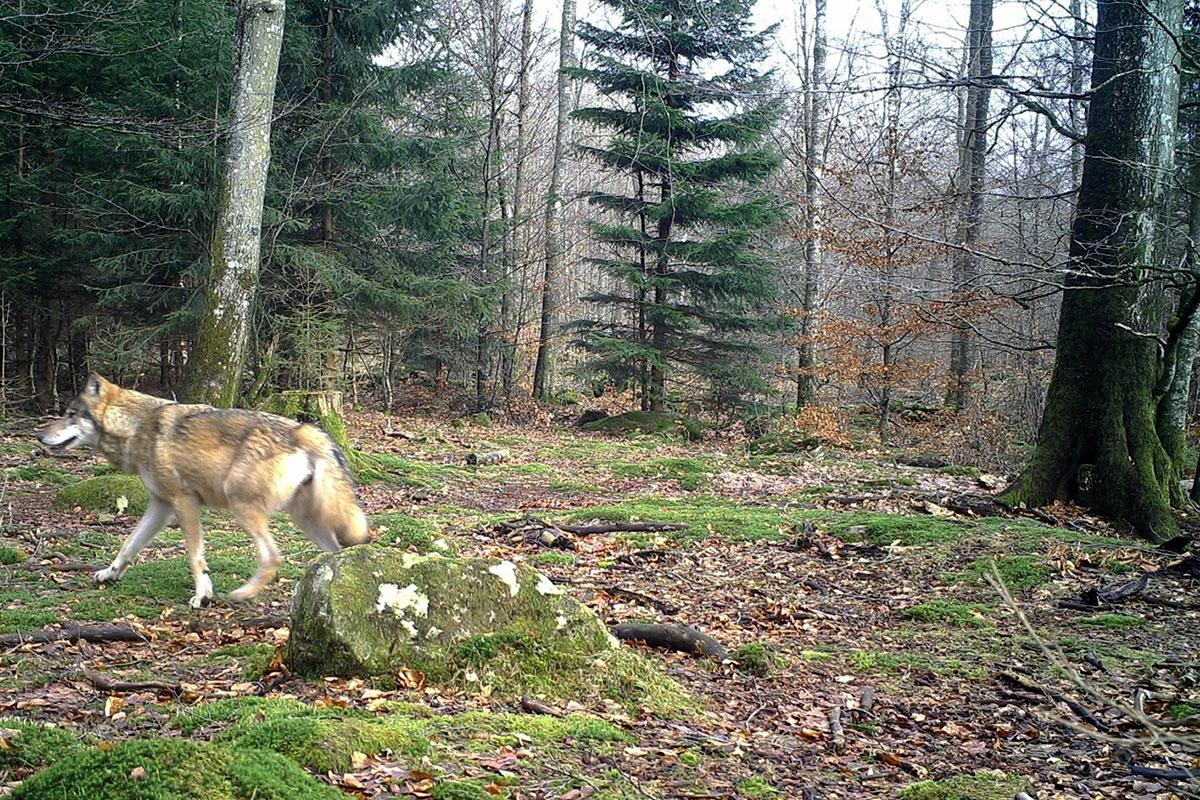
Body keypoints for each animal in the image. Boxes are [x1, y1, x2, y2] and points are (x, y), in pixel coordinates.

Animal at [37, 376, 369, 606]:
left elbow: (195, 556)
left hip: (242, 505)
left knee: (274, 558)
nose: (40, 436)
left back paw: (242, 594)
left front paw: (203, 596)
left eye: (70, 414)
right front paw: (110, 573)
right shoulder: (160, 505)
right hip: (304, 518)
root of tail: (303, 430)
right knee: (334, 554)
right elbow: (129, 544)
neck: (137, 427)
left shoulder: (183, 502)